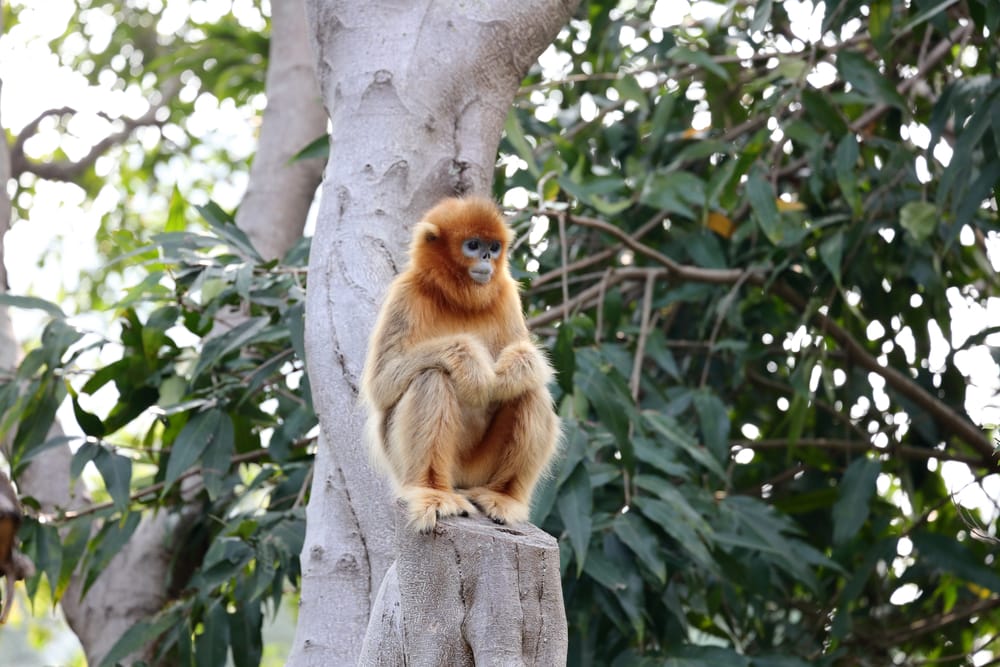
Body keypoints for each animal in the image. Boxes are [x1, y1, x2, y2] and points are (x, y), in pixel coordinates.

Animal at [360, 196, 560, 533]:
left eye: (494, 247)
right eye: (473, 245)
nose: (487, 258)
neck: (458, 298)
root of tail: (460, 481)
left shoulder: (506, 293)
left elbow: (529, 362)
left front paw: (508, 374)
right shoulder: (406, 292)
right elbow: (382, 384)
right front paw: (471, 364)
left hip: (479, 469)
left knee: (532, 391)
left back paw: (503, 497)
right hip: (416, 465)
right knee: (432, 376)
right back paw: (432, 492)